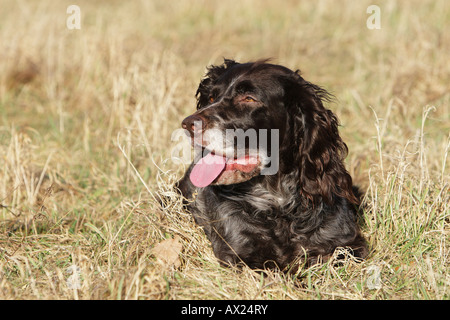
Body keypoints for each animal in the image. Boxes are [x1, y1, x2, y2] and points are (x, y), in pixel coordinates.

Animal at [176, 58, 366, 268]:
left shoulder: (349, 243)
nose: (187, 124)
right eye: (211, 98)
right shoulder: (241, 254)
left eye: (249, 99)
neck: (279, 203)